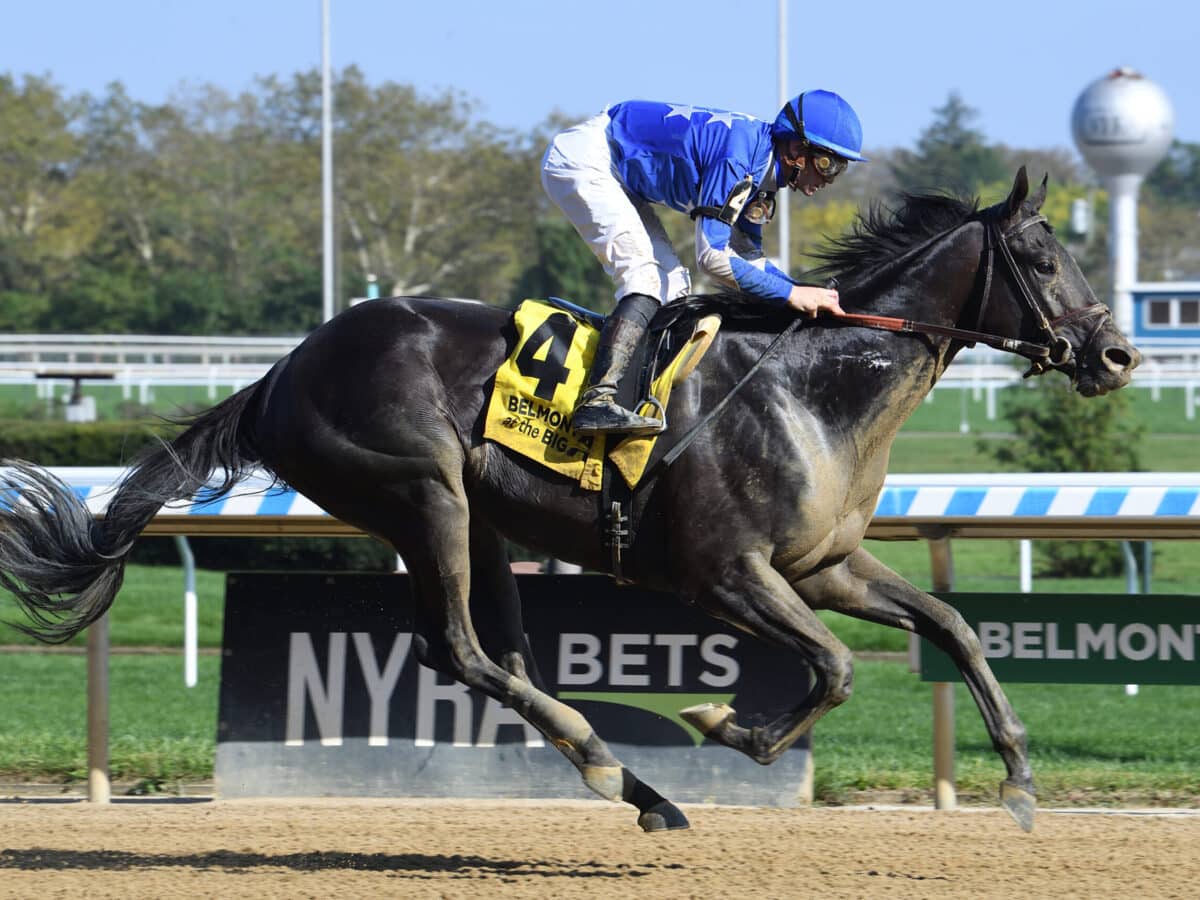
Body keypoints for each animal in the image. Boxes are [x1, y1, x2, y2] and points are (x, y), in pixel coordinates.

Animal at [0, 168, 1137, 830]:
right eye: (1043, 258)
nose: (1118, 353)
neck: (816, 389)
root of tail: (279, 374)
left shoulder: (826, 565)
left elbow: (949, 624)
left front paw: (1020, 778)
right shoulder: (725, 576)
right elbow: (836, 667)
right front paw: (725, 723)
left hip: (478, 524)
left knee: (492, 658)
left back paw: (640, 788)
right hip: (426, 496)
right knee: (460, 652)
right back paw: (610, 769)